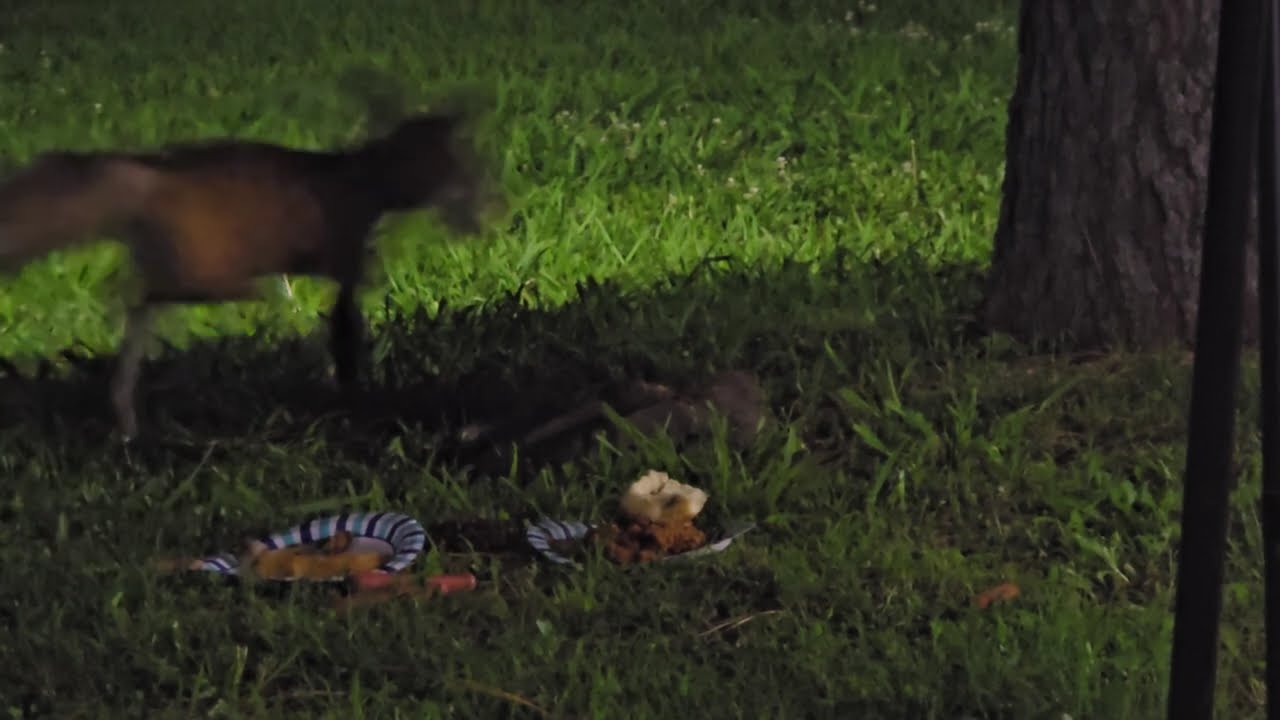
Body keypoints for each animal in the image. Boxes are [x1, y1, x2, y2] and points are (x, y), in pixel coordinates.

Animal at [0, 110, 499, 440]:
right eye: (460, 170)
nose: (486, 203)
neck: (360, 172)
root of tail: (149, 175)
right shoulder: (343, 251)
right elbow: (345, 319)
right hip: (201, 260)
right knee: (147, 292)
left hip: (169, 258)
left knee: (140, 300)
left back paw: (125, 400)